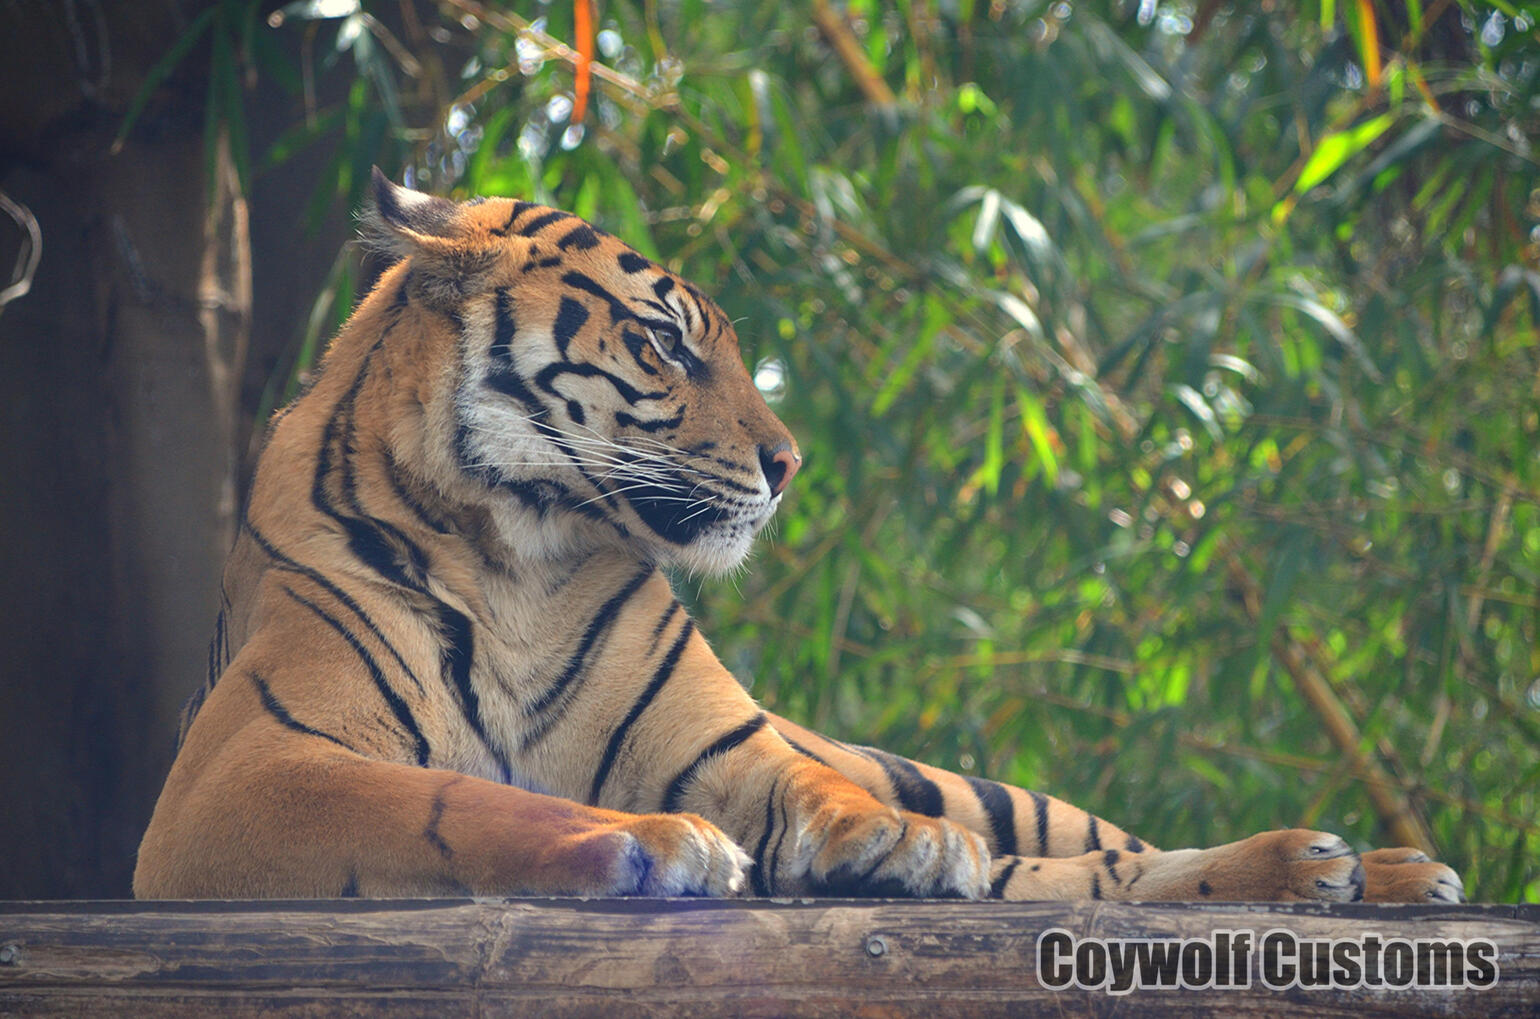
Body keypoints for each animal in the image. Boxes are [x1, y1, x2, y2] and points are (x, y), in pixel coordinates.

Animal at [133, 169, 1464, 904]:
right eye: (664, 342)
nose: (787, 463)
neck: (518, 550)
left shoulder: (727, 739)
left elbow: (811, 780)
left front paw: (894, 842)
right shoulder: (240, 769)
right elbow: (449, 803)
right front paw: (660, 843)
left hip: (998, 788)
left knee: (1109, 856)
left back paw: (1366, 867)